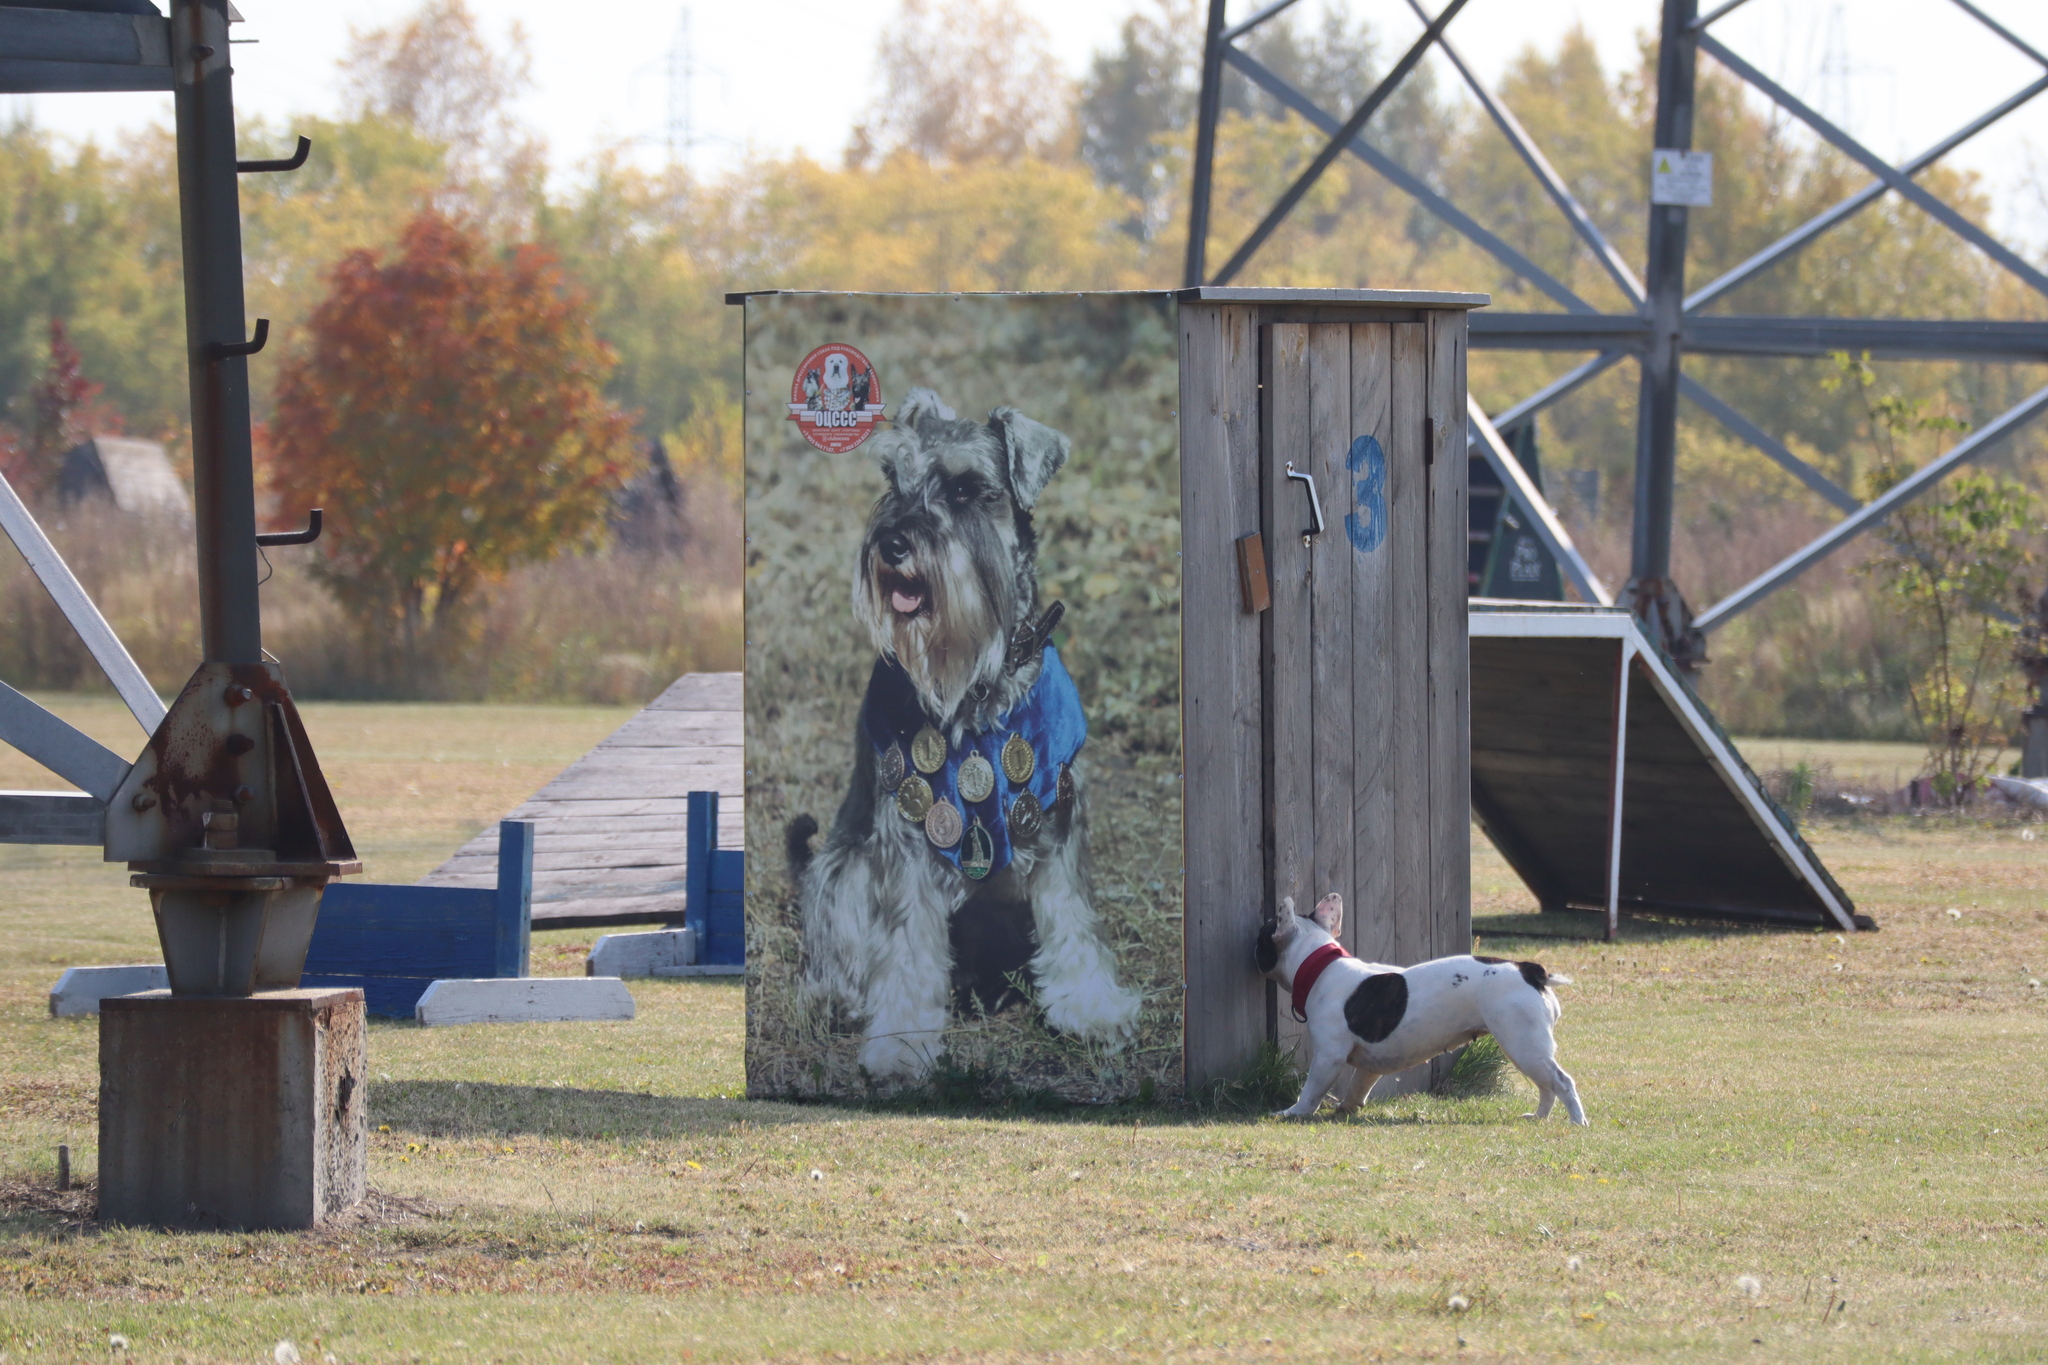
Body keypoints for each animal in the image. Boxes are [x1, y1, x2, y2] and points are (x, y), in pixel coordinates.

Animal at [786, 388, 1146, 1080]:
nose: (892, 542)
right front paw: (900, 1042)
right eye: (893, 480)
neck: (978, 684)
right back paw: (834, 998)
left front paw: (1091, 1008)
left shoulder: (1057, 821)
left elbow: (1073, 920)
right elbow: (904, 946)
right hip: (842, 870)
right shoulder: (904, 840)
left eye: (964, 490)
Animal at [1253, 892, 1589, 1129]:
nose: (1250, 945)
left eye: (1261, 936)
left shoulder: (1328, 1056)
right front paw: (1347, 1108)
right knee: (1546, 1084)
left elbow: (1312, 1090)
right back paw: (1539, 1117)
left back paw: (1576, 1121)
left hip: (1522, 1042)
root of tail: (1529, 970)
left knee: (1561, 1081)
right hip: (1525, 1047)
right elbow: (1358, 1086)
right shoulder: (1369, 1067)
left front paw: (1293, 1112)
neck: (1320, 966)